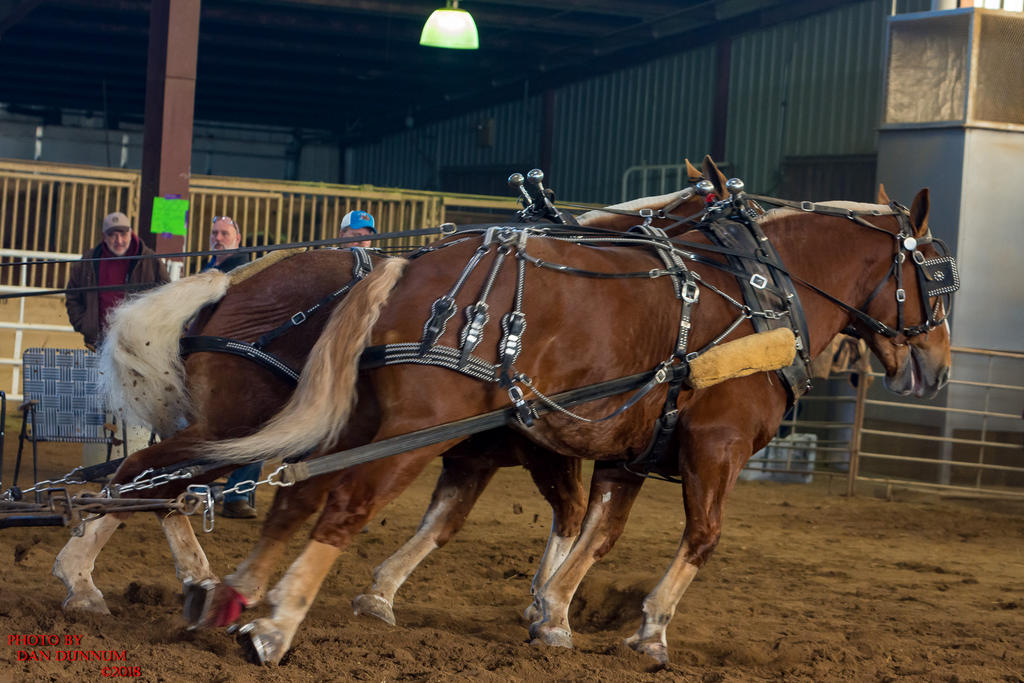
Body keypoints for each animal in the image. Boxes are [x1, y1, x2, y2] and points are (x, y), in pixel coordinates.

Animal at [51, 187, 708, 618]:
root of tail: (230, 284)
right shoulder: (538, 438)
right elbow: (568, 513)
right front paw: (547, 602)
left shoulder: (485, 444)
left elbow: (471, 516)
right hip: (241, 421)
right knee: (149, 475)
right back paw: (84, 576)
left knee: (160, 483)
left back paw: (172, 573)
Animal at [199, 166, 950, 667]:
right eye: (939, 277)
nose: (938, 367)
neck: (762, 295)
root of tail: (405, 268)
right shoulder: (717, 444)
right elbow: (698, 535)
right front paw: (649, 630)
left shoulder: (626, 446)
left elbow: (593, 532)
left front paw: (552, 612)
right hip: (413, 428)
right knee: (344, 505)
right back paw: (275, 625)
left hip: (362, 420)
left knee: (295, 495)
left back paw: (235, 595)